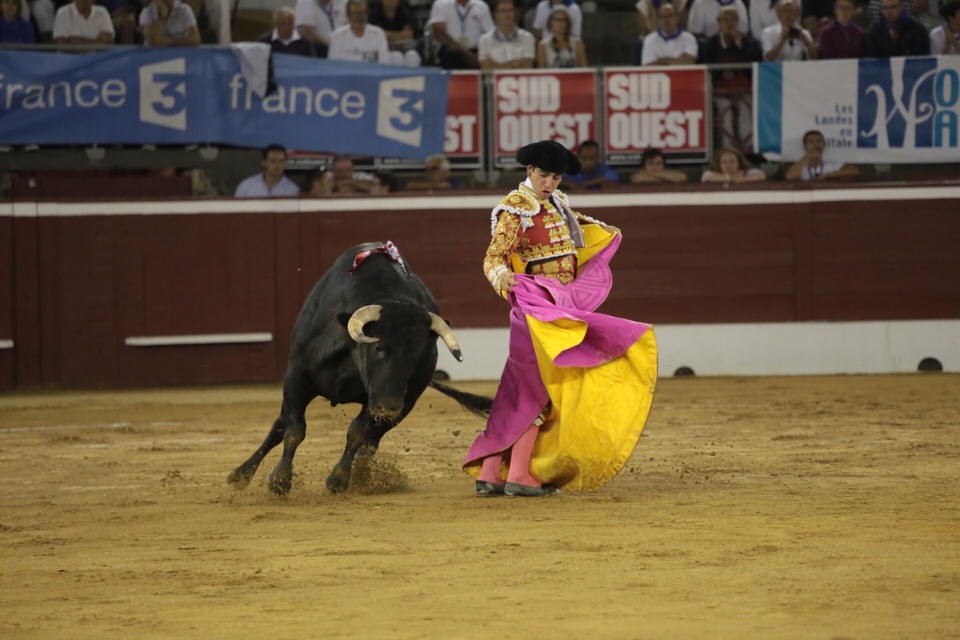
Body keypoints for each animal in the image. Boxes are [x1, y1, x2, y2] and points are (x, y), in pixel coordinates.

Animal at [229, 242, 492, 492]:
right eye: (378, 347)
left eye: (417, 356)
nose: (390, 408)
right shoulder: (297, 378)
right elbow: (295, 429)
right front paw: (280, 480)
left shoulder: (380, 398)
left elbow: (357, 433)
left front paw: (338, 479)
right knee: (279, 426)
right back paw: (241, 474)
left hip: (404, 403)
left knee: (370, 442)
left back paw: (363, 476)